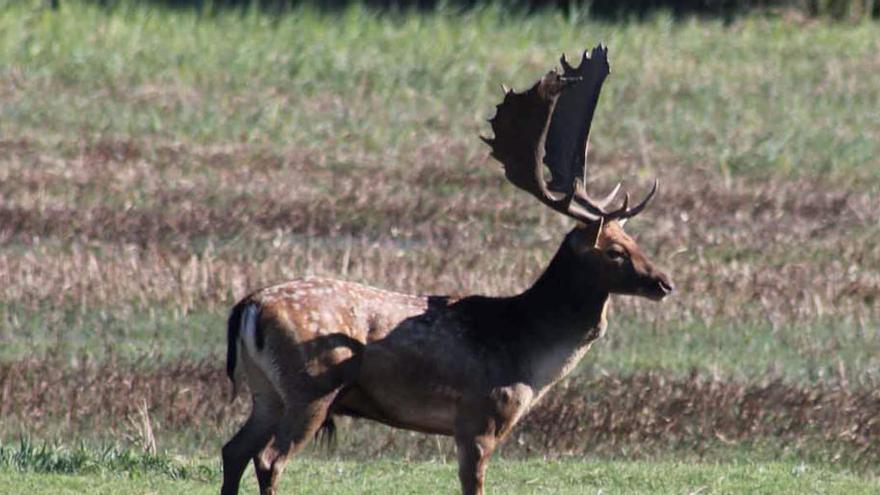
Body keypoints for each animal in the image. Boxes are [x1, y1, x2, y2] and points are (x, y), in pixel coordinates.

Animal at [220, 46, 672, 495]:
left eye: (634, 240)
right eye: (614, 251)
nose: (665, 283)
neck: (528, 352)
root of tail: (249, 306)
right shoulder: (480, 416)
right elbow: (473, 484)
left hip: (267, 390)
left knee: (233, 449)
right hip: (312, 386)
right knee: (269, 458)